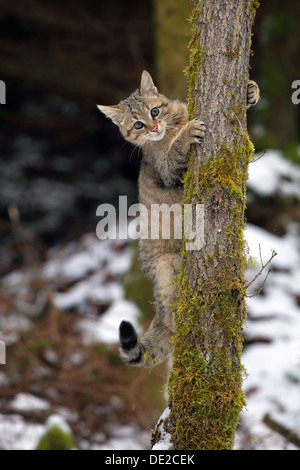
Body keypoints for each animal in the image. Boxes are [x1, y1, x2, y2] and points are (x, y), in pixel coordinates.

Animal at [98, 71, 260, 370]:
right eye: (137, 124)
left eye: (154, 111)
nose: (153, 128)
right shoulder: (167, 170)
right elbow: (174, 154)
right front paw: (186, 135)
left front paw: (250, 91)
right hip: (167, 268)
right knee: (171, 320)